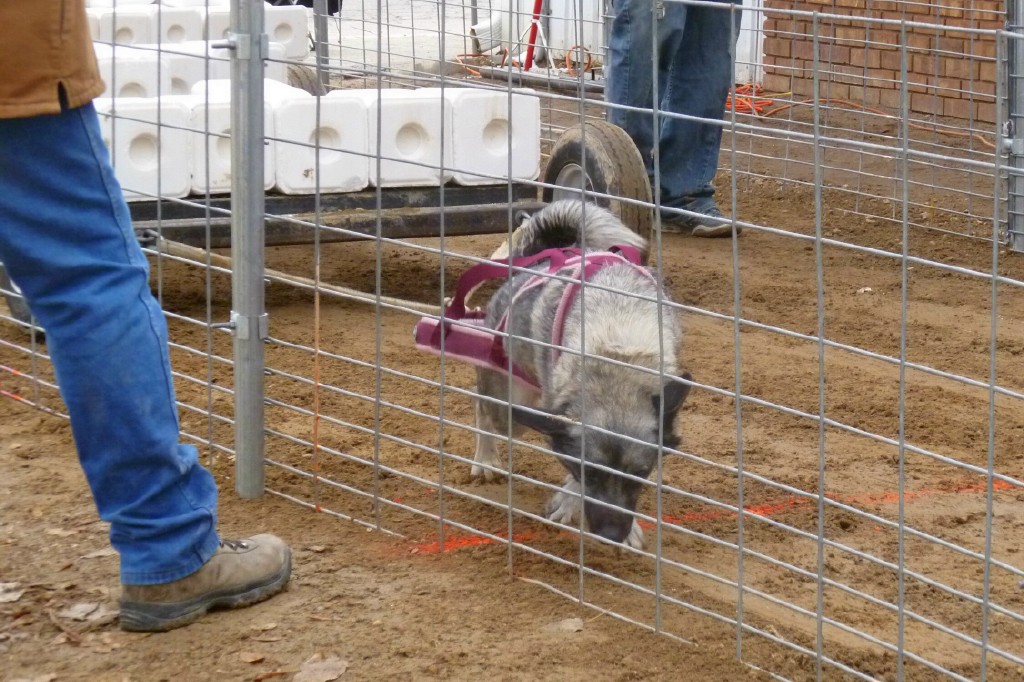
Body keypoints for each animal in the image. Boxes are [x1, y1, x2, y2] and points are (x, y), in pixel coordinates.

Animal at [468, 200, 692, 548]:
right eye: (590, 474)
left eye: (640, 476)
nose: (612, 535)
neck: (616, 355)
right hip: (512, 407)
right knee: (483, 409)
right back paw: (485, 459)